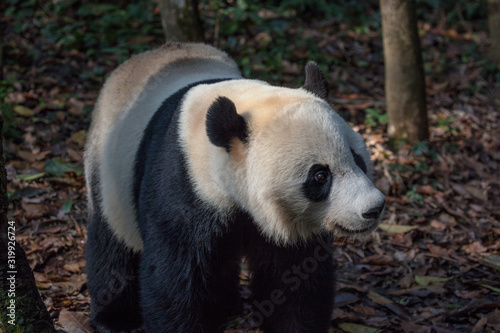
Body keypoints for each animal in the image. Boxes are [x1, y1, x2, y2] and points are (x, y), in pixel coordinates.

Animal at [84, 42, 384, 332]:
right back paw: (116, 318)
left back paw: (225, 307)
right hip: (110, 167)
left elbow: (295, 276)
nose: (373, 208)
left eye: (358, 159)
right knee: (112, 243)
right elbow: (175, 276)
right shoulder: (184, 182)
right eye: (320, 176)